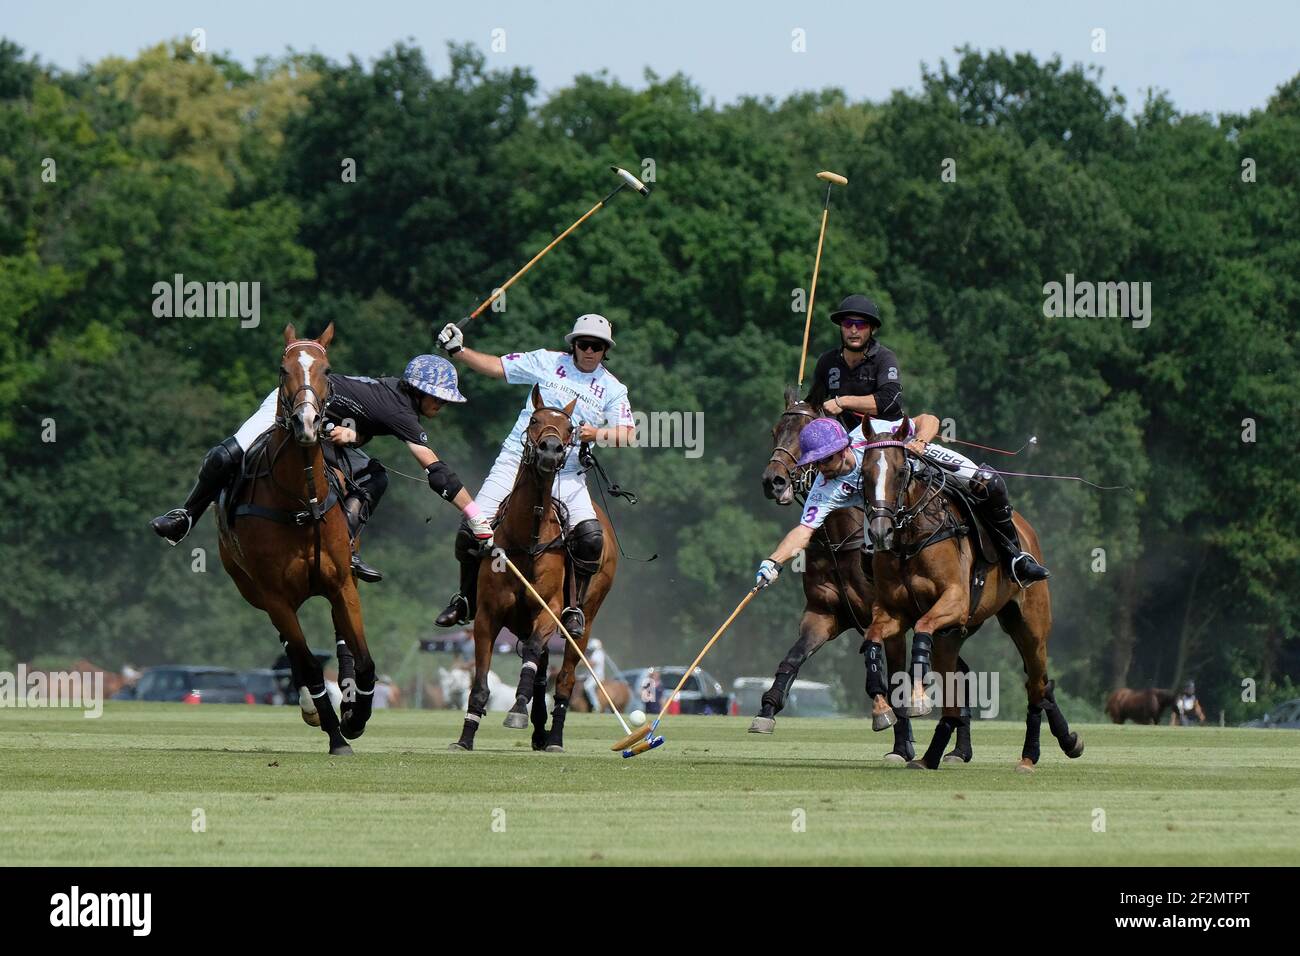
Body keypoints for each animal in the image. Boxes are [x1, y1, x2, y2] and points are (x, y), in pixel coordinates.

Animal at [215, 325, 374, 759]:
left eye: (327, 369)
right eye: (283, 369)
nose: (307, 422)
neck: (302, 501)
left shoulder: (342, 584)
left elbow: (364, 658)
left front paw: (356, 717)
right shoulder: (276, 596)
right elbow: (309, 666)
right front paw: (336, 735)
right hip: (256, 593)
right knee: (292, 650)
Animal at [449, 390, 616, 754]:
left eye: (570, 427)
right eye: (535, 420)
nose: (550, 451)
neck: (529, 536)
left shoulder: (549, 610)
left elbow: (532, 655)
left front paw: (516, 710)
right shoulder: (488, 615)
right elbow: (480, 683)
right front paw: (466, 737)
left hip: (586, 617)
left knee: (564, 677)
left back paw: (554, 737)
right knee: (542, 670)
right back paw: (539, 729)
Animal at [857, 421, 1081, 775]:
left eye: (900, 471)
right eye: (864, 472)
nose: (880, 533)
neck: (911, 539)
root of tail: (1025, 527)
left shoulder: (955, 603)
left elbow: (923, 629)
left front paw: (917, 697)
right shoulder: (892, 611)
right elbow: (873, 639)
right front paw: (881, 707)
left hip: (1030, 627)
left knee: (1037, 686)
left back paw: (1030, 756)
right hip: (954, 638)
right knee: (956, 700)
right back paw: (930, 757)